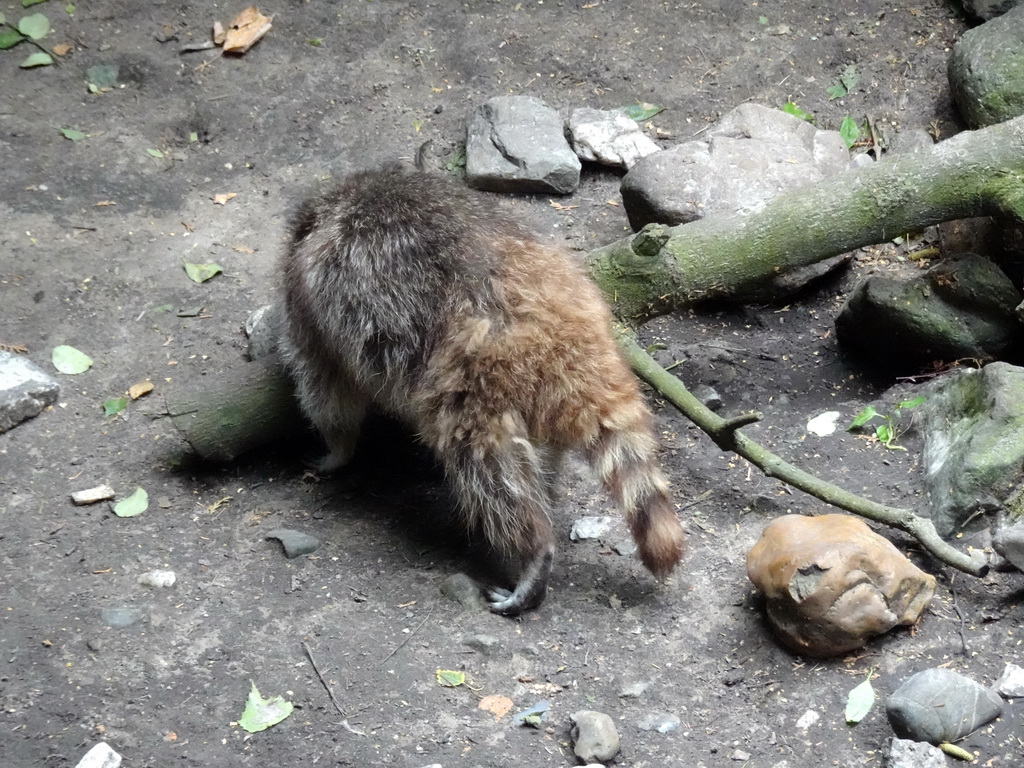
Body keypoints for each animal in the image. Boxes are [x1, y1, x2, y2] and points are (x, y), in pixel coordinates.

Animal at [278, 162, 688, 614]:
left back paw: (534, 548)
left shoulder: (307, 304)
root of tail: (573, 334)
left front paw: (336, 450)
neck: (350, 195)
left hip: (478, 379)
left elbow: (326, 387)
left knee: (488, 468)